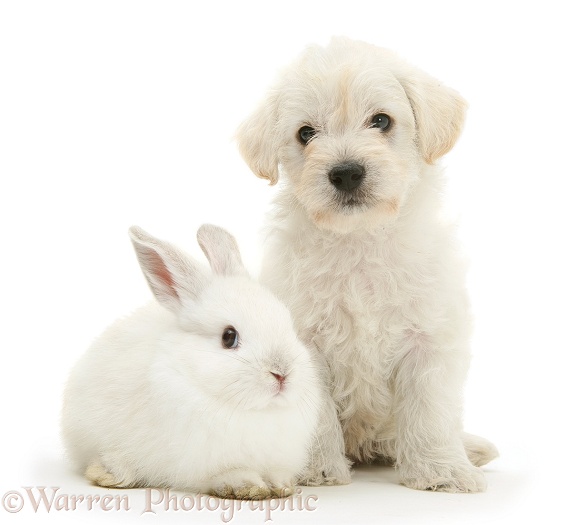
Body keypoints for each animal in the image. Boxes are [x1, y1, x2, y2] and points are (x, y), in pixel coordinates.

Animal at [61, 223, 322, 498]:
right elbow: (226, 474)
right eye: (229, 337)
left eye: (289, 325)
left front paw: (282, 486)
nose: (282, 373)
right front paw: (247, 486)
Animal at [237, 37, 498, 492]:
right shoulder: (305, 346)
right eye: (305, 133)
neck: (359, 240)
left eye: (381, 121)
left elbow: (430, 411)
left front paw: (442, 471)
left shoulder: (428, 340)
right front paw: (318, 470)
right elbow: (317, 417)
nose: (346, 173)